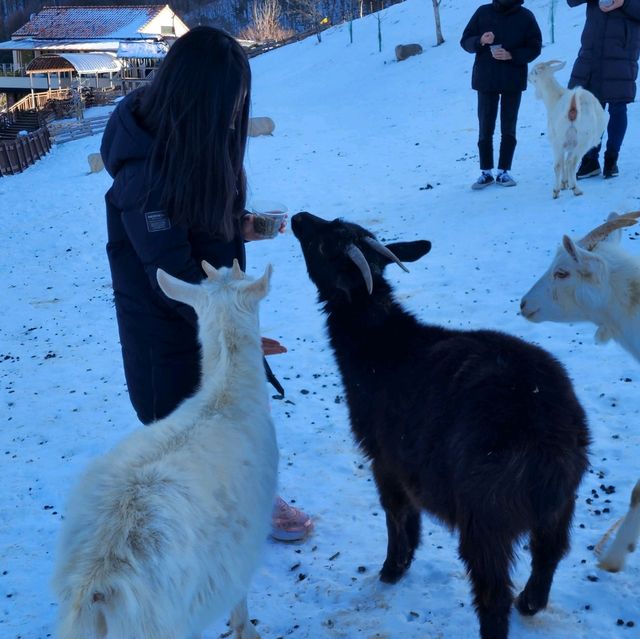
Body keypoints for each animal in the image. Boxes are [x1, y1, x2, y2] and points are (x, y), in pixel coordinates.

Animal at [52, 260, 278, 639]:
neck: (225, 392)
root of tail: (96, 586)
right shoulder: (242, 546)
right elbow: (240, 598)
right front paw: (246, 629)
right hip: (167, 621)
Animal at [290, 214, 592, 639]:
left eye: (324, 244)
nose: (298, 217)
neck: (379, 344)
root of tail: (551, 431)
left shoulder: (385, 456)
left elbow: (396, 511)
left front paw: (392, 569)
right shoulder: (406, 459)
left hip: (486, 515)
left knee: (493, 594)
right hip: (559, 506)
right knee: (549, 554)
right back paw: (530, 603)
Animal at [528, 60, 608, 200]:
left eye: (533, 72)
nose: (527, 77)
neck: (555, 97)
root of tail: (573, 105)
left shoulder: (565, 143)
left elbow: (562, 161)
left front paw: (564, 184)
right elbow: (567, 161)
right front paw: (566, 183)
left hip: (558, 138)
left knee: (558, 164)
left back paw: (556, 191)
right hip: (583, 140)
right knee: (572, 162)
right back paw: (576, 189)